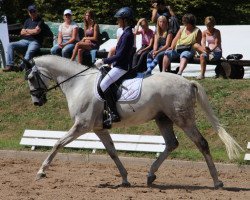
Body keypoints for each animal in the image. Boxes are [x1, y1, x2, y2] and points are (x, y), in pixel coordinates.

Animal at [25, 55, 242, 188]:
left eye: (31, 77)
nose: (37, 102)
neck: (78, 83)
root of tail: (188, 82)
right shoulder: (99, 128)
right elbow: (112, 152)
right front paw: (125, 178)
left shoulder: (82, 126)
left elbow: (57, 144)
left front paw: (41, 171)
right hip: (163, 119)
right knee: (171, 143)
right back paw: (151, 175)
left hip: (183, 119)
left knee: (201, 143)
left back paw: (217, 181)